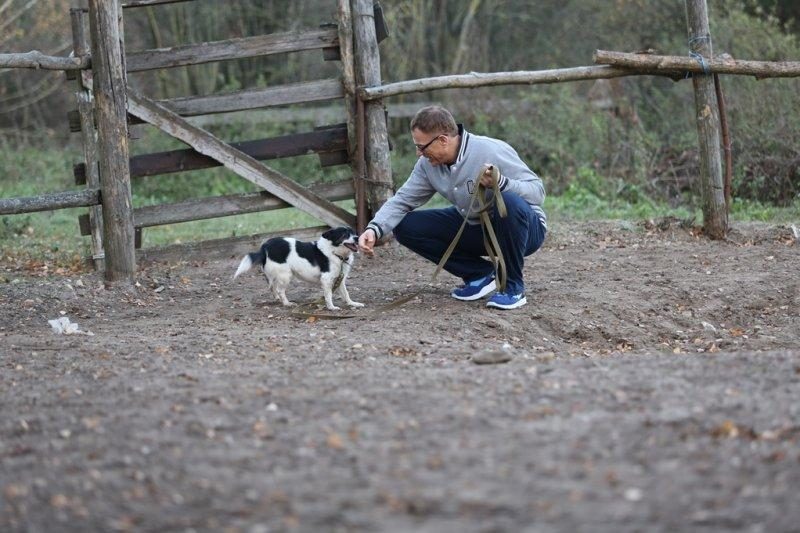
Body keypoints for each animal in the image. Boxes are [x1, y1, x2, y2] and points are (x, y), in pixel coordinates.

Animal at [231, 225, 366, 312]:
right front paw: (331, 307)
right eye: (344, 234)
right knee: (280, 290)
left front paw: (352, 303)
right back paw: (286, 303)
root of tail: (265, 246)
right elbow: (328, 295)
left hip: (277, 275)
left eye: (353, 232)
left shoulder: (340, 279)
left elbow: (346, 294)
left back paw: (277, 298)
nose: (357, 237)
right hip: (286, 275)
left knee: (272, 287)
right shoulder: (326, 279)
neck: (335, 253)